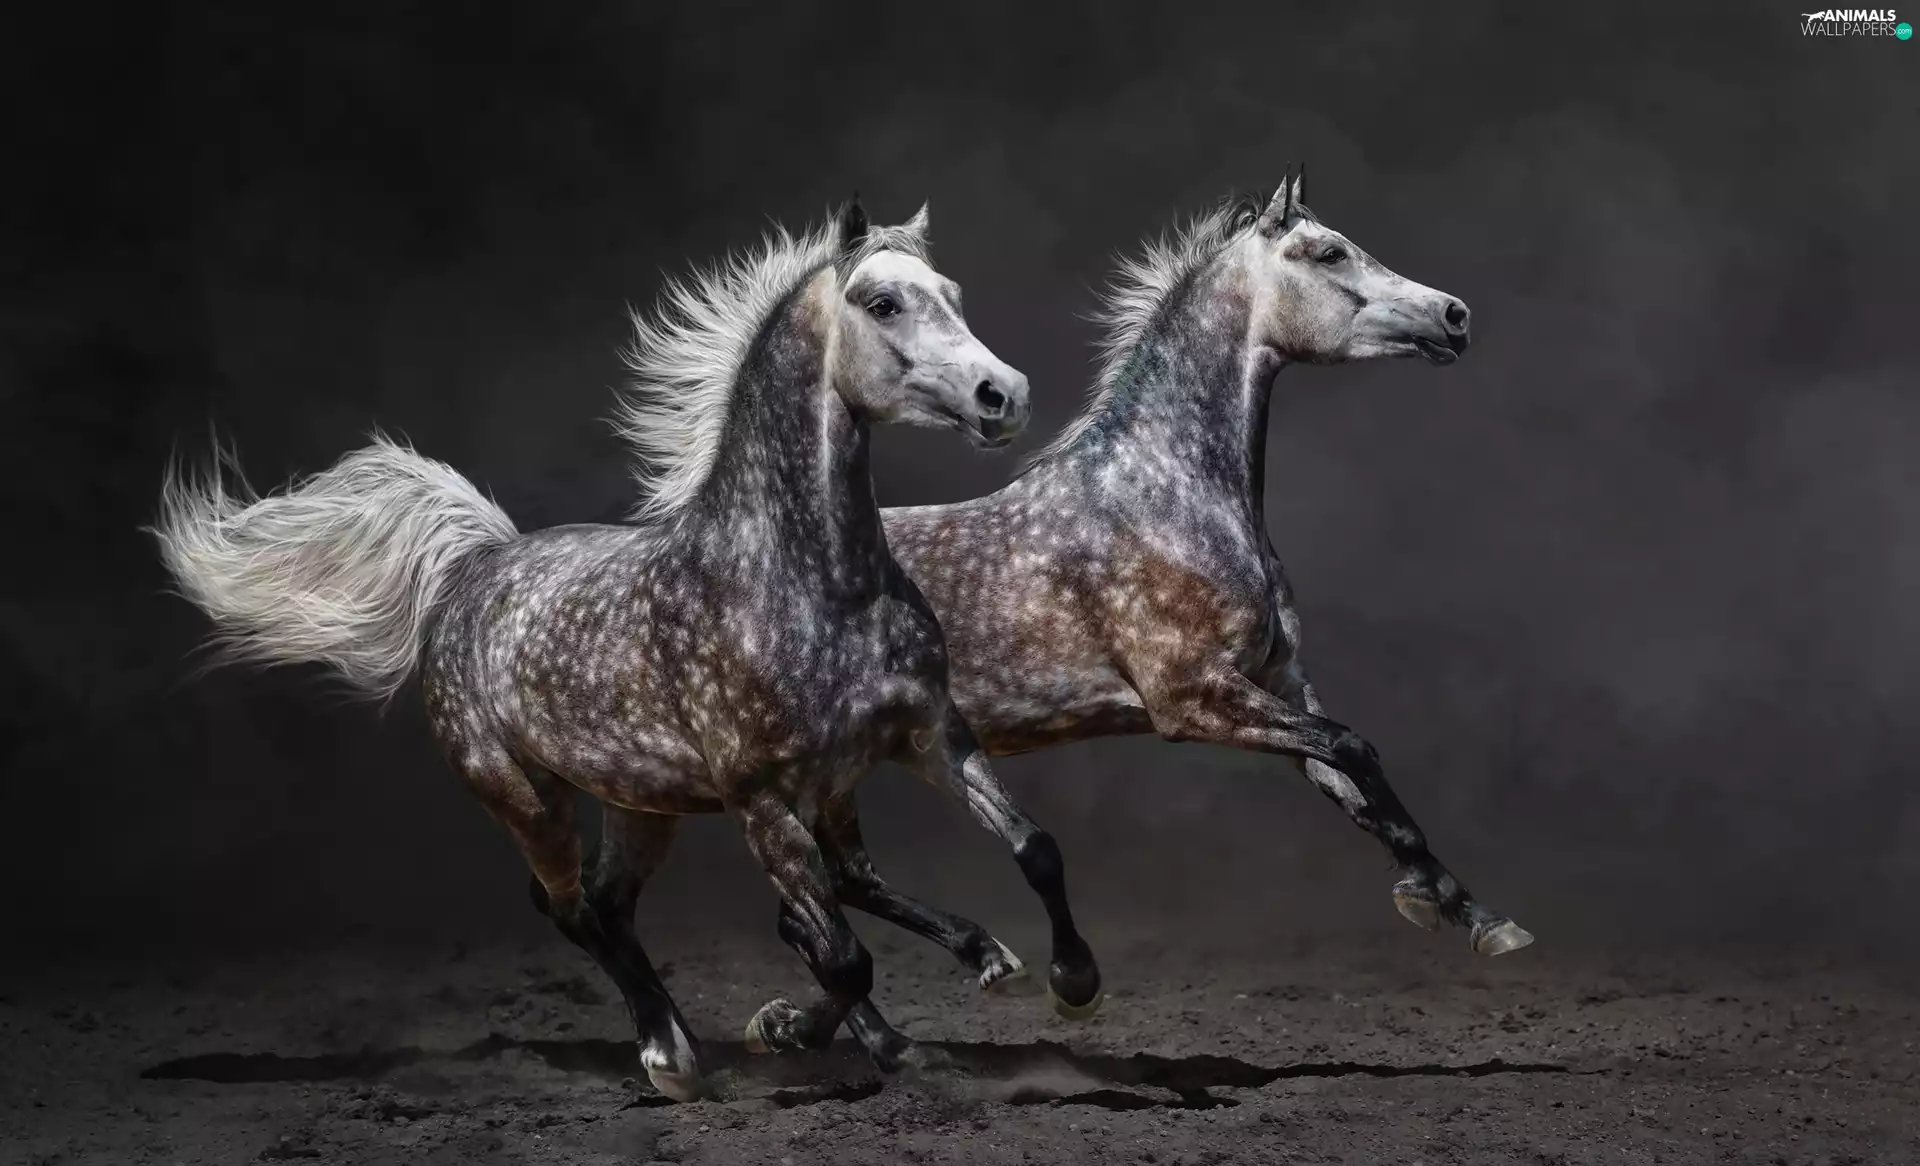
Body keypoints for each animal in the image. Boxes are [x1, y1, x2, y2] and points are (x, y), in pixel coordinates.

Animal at [150, 199, 1104, 1103]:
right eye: (882, 302)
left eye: (952, 295)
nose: (1003, 394)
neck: (809, 582)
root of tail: (474, 567)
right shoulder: (761, 801)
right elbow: (839, 955)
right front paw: (812, 1033)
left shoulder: (927, 737)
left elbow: (1031, 849)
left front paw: (1067, 982)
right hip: (526, 798)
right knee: (575, 909)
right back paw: (671, 1057)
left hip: (646, 803)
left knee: (646, 902)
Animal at [873, 167, 1534, 959]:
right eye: (1329, 253)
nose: (1454, 315)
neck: (1166, 501)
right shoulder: (1192, 699)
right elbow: (1356, 749)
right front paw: (1430, 898)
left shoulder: (1279, 683)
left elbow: (1355, 784)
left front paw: (1474, 912)